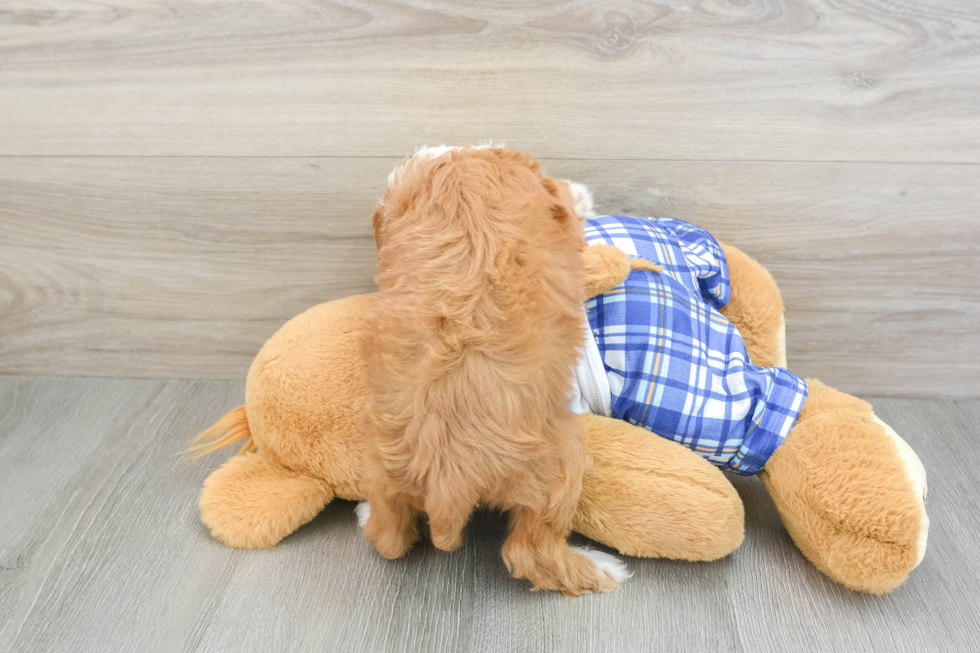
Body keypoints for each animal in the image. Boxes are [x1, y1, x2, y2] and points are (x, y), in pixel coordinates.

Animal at [360, 146, 628, 596]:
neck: (459, 176)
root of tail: (448, 482)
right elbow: (571, 219)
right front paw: (580, 198)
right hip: (563, 465)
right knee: (531, 553)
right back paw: (601, 568)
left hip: (384, 466)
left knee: (389, 537)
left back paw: (365, 514)